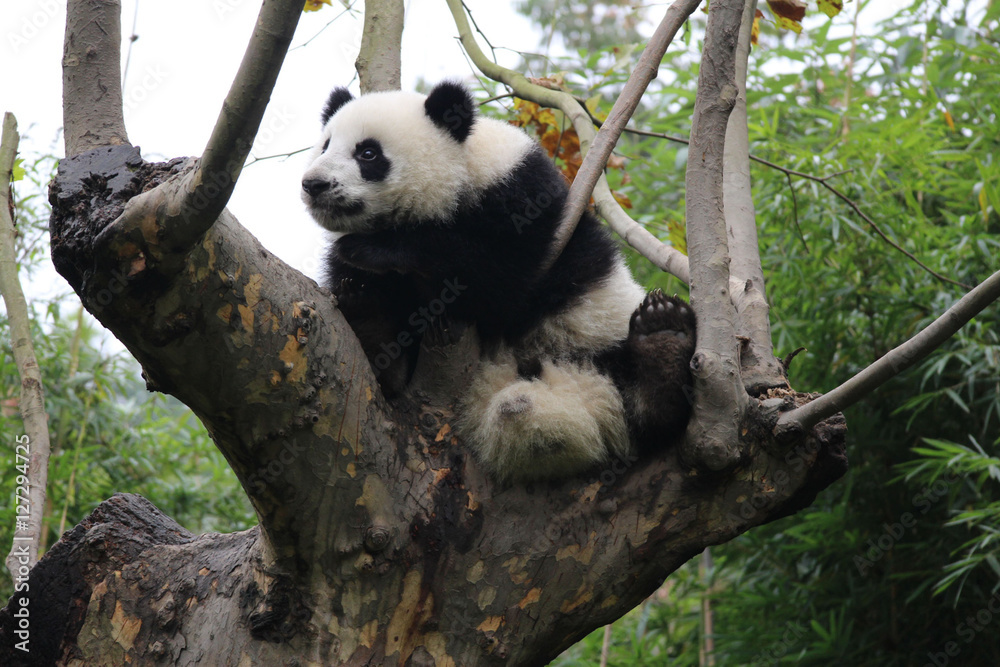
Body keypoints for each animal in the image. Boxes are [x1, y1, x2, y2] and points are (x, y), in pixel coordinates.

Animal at [301, 81, 696, 482]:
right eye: (325, 145)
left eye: (368, 153)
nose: (314, 184)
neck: (461, 172)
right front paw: (362, 288)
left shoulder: (524, 199)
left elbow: (494, 276)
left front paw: (376, 248)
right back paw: (369, 321)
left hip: (596, 338)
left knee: (644, 407)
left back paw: (661, 343)